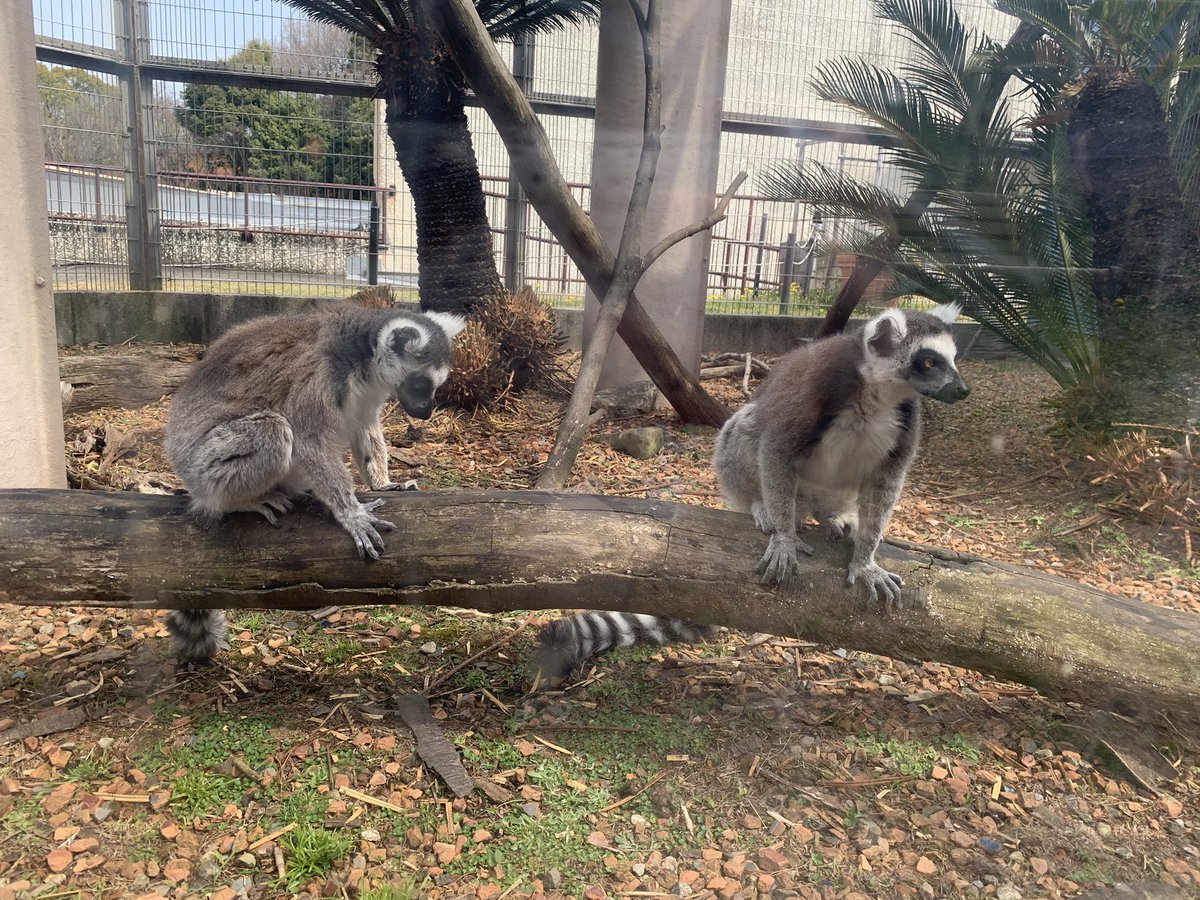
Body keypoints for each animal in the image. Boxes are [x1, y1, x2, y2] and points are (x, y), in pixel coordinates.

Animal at [163, 303, 465, 665]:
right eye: (421, 383)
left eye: (433, 385)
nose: (425, 414)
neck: (362, 358)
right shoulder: (320, 375)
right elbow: (309, 439)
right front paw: (353, 515)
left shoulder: (365, 397)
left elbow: (364, 427)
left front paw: (382, 484)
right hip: (205, 467)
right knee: (274, 431)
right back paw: (245, 500)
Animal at [530, 304, 969, 686]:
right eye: (928, 361)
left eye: (952, 358)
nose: (962, 389)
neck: (879, 394)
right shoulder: (814, 389)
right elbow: (775, 446)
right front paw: (784, 540)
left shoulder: (905, 422)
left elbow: (886, 481)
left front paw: (865, 561)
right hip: (753, 468)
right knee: (749, 426)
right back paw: (766, 509)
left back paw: (833, 518)